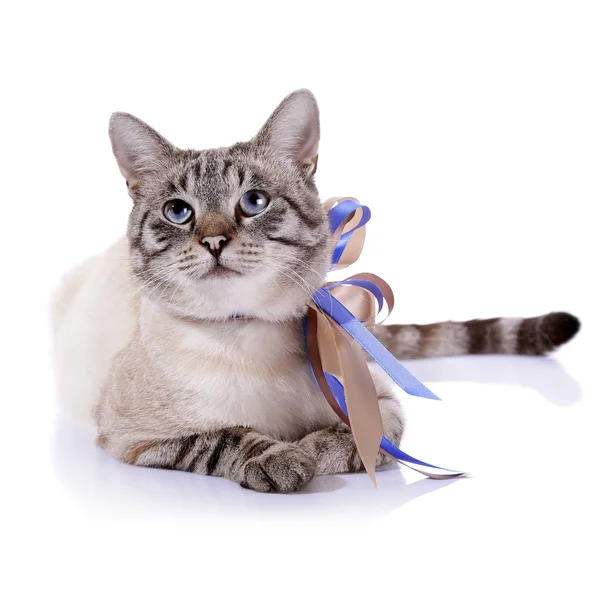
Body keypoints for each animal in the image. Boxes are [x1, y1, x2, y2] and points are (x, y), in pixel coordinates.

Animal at [52, 89, 580, 492]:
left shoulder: (382, 405)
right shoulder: (133, 438)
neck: (247, 335)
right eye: (178, 212)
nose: (214, 241)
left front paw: (308, 448)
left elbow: (350, 439)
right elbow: (225, 437)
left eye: (254, 202)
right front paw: (280, 458)